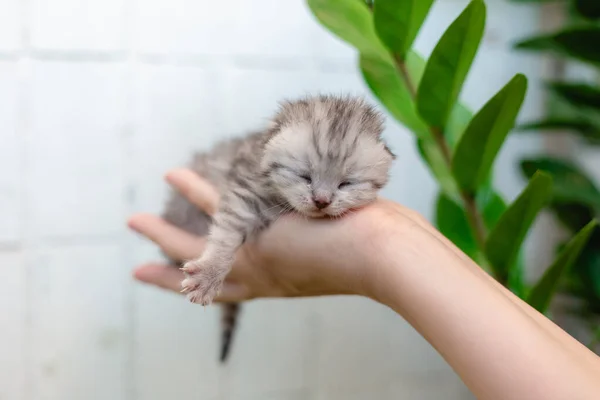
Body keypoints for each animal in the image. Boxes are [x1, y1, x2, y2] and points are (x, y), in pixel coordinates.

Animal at [162, 94, 394, 362]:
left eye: (346, 183)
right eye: (305, 176)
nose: (322, 201)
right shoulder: (244, 193)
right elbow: (226, 235)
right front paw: (210, 274)